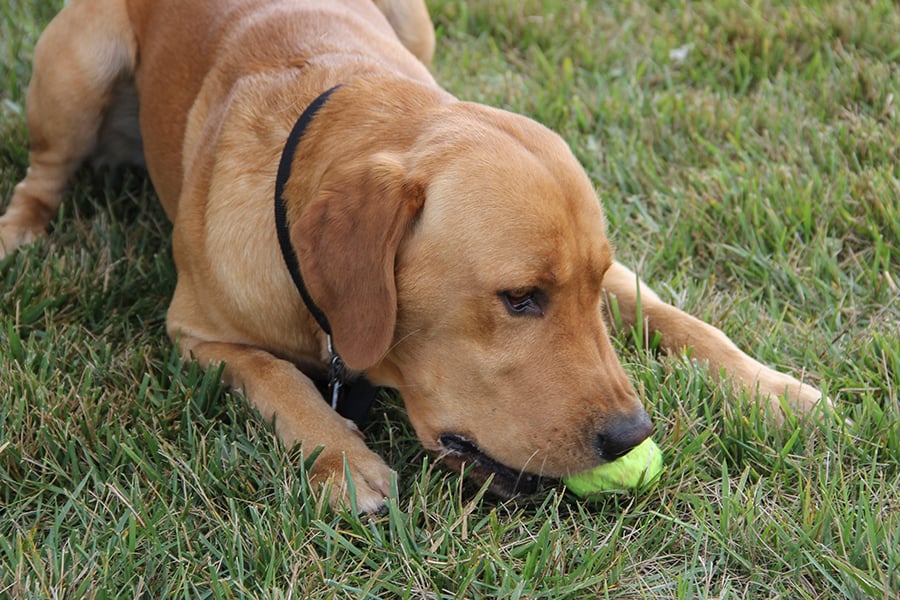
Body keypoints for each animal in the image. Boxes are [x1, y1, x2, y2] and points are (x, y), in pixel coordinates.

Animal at [0, 1, 828, 516]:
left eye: (591, 289)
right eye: (519, 298)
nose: (632, 434)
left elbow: (675, 315)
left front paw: (771, 387)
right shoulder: (200, 333)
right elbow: (278, 379)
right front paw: (343, 459)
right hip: (78, 70)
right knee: (43, 175)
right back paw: (19, 232)